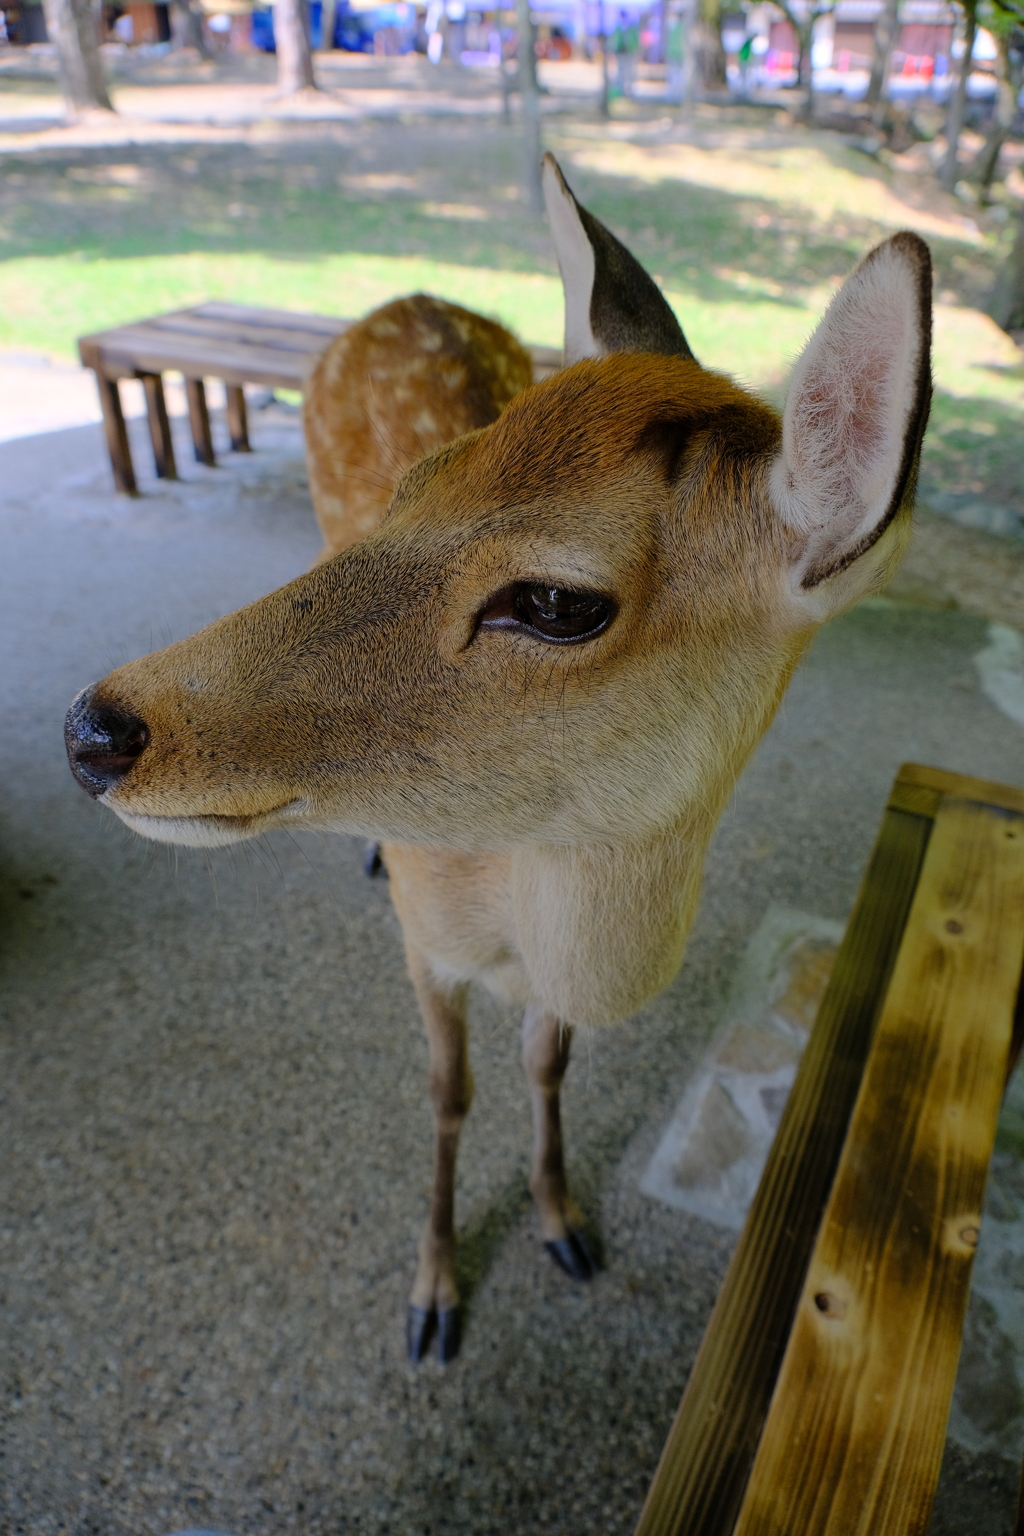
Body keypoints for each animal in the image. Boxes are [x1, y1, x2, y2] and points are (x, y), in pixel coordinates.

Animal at [62, 149, 927, 1363]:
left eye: (558, 601)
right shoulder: (423, 941)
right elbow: (446, 1091)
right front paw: (431, 1296)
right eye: (419, 478)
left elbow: (543, 1064)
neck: (526, 932)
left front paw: (564, 1225)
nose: (94, 727)